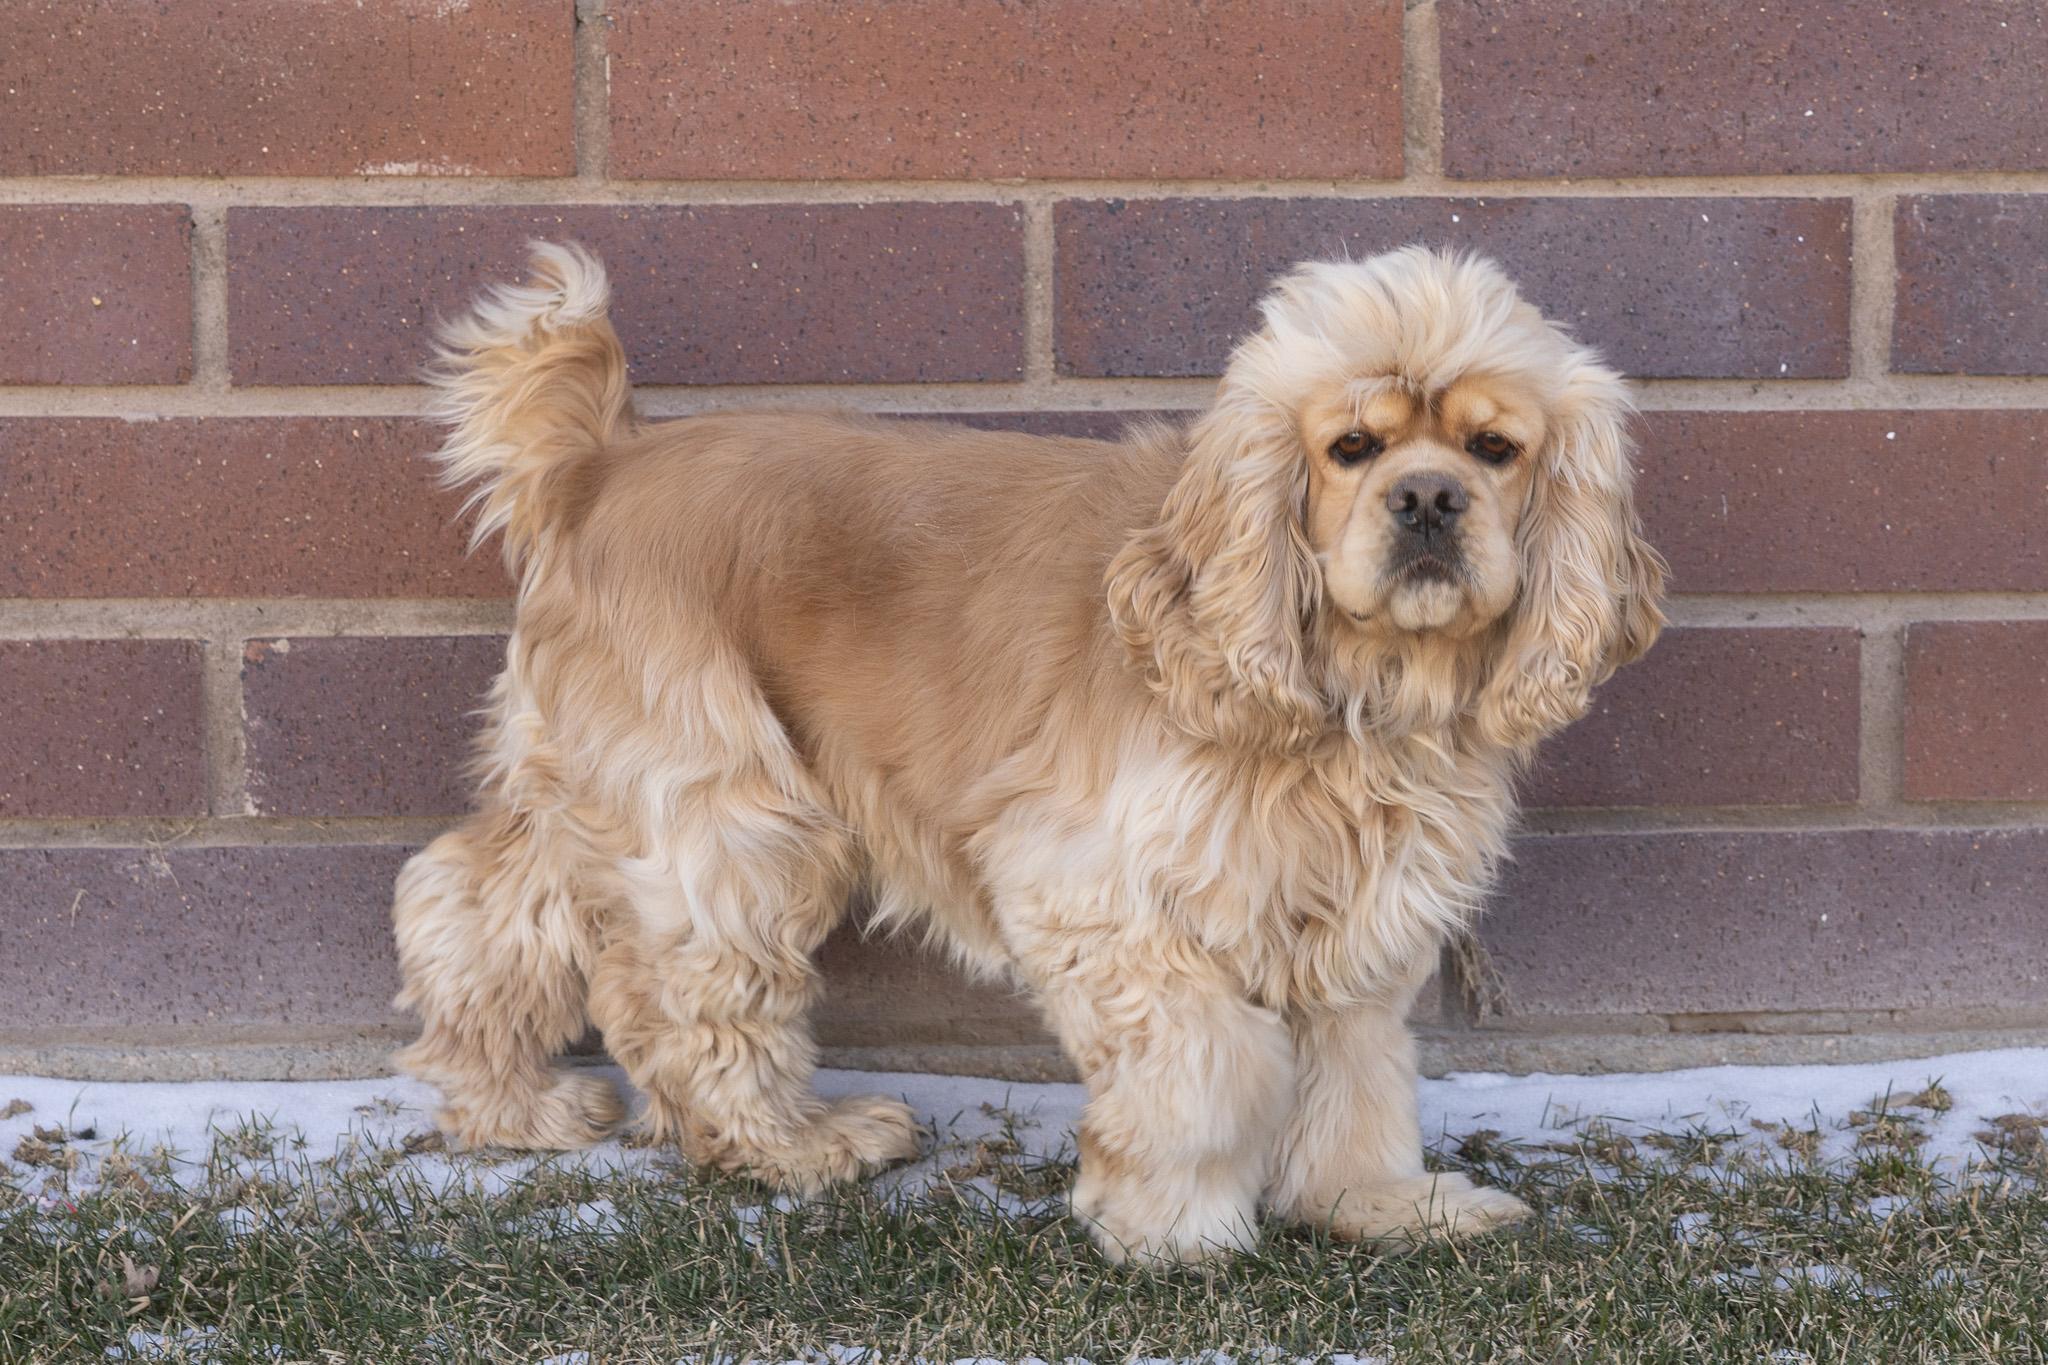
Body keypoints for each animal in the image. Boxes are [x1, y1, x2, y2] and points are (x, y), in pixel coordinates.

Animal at [391, 242, 1665, 1263]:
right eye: (1350, 446)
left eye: (1493, 447)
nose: (1428, 501)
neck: (1352, 696)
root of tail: (603, 463)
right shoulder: (1100, 892)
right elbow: (1203, 1072)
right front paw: (1173, 1229)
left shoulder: (1358, 911)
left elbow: (1355, 1077)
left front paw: (1378, 1205)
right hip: (731, 810)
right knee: (686, 996)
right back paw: (796, 1144)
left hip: (609, 792)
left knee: (476, 903)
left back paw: (509, 1108)